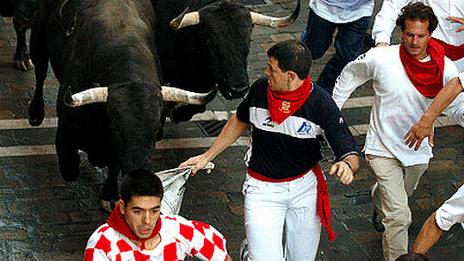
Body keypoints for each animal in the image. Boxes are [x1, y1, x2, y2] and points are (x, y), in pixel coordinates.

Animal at [26, 0, 300, 209]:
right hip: (37, 36)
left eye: (248, 41)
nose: (239, 89)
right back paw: (35, 112)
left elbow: (114, 163)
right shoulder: (66, 133)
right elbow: (69, 165)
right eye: (211, 42)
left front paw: (109, 193)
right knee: (38, 71)